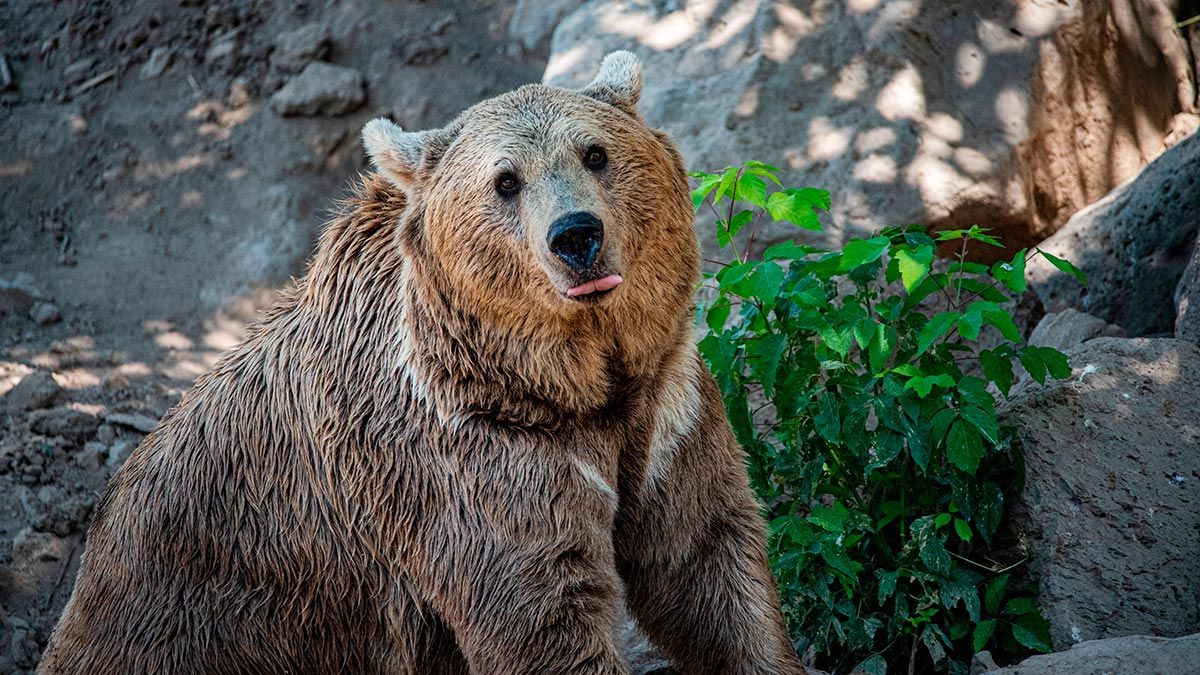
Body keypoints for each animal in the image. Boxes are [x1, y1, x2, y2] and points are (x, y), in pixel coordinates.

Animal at [39, 49, 806, 667]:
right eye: (505, 180)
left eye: (595, 153)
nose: (576, 235)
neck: (566, 382)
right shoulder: (468, 467)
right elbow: (542, 615)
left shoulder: (664, 409)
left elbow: (707, 565)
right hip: (191, 613)